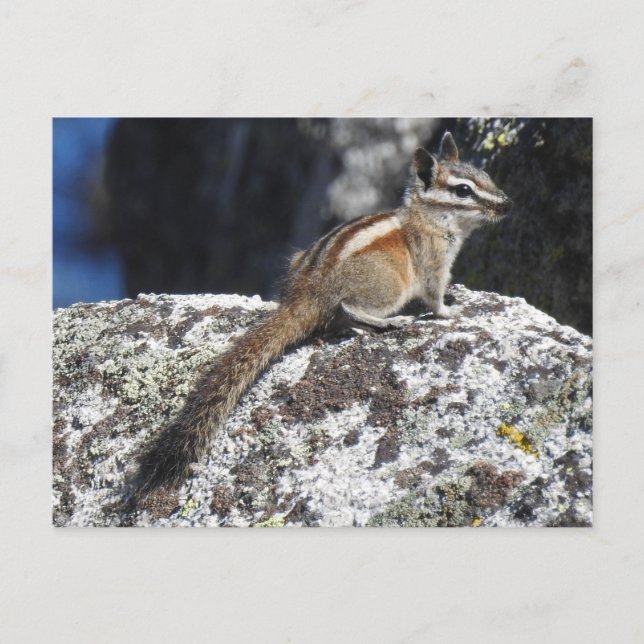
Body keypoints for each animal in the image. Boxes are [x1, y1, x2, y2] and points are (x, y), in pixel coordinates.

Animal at [131, 131, 512, 500]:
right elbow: (434, 295)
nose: (507, 204)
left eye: (486, 176)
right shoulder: (433, 261)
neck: (428, 216)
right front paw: (451, 309)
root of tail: (305, 294)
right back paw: (386, 322)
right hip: (388, 286)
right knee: (347, 306)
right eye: (463, 190)